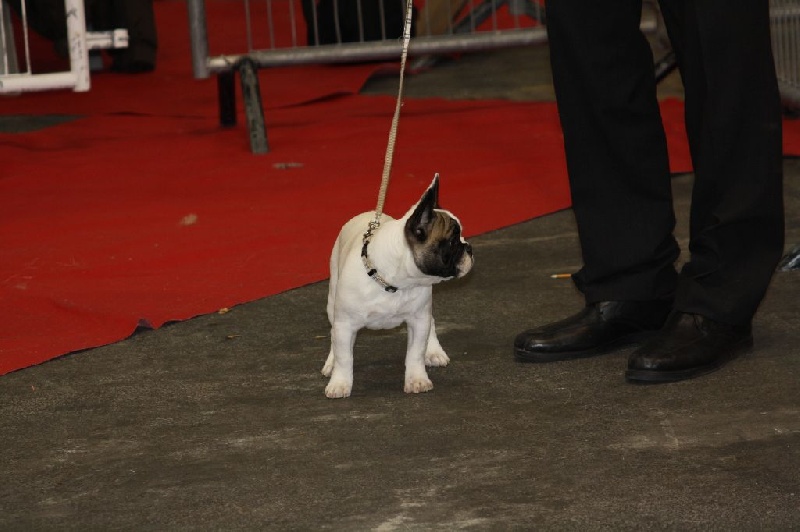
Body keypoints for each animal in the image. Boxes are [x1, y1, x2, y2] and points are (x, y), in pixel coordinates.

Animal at [324, 177, 476, 396]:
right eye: (452, 242)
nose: (469, 248)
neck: (395, 282)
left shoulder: (418, 320)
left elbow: (415, 353)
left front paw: (417, 380)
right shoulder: (344, 323)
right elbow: (344, 357)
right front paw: (340, 382)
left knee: (431, 321)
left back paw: (434, 351)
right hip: (332, 302)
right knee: (333, 334)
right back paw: (331, 362)